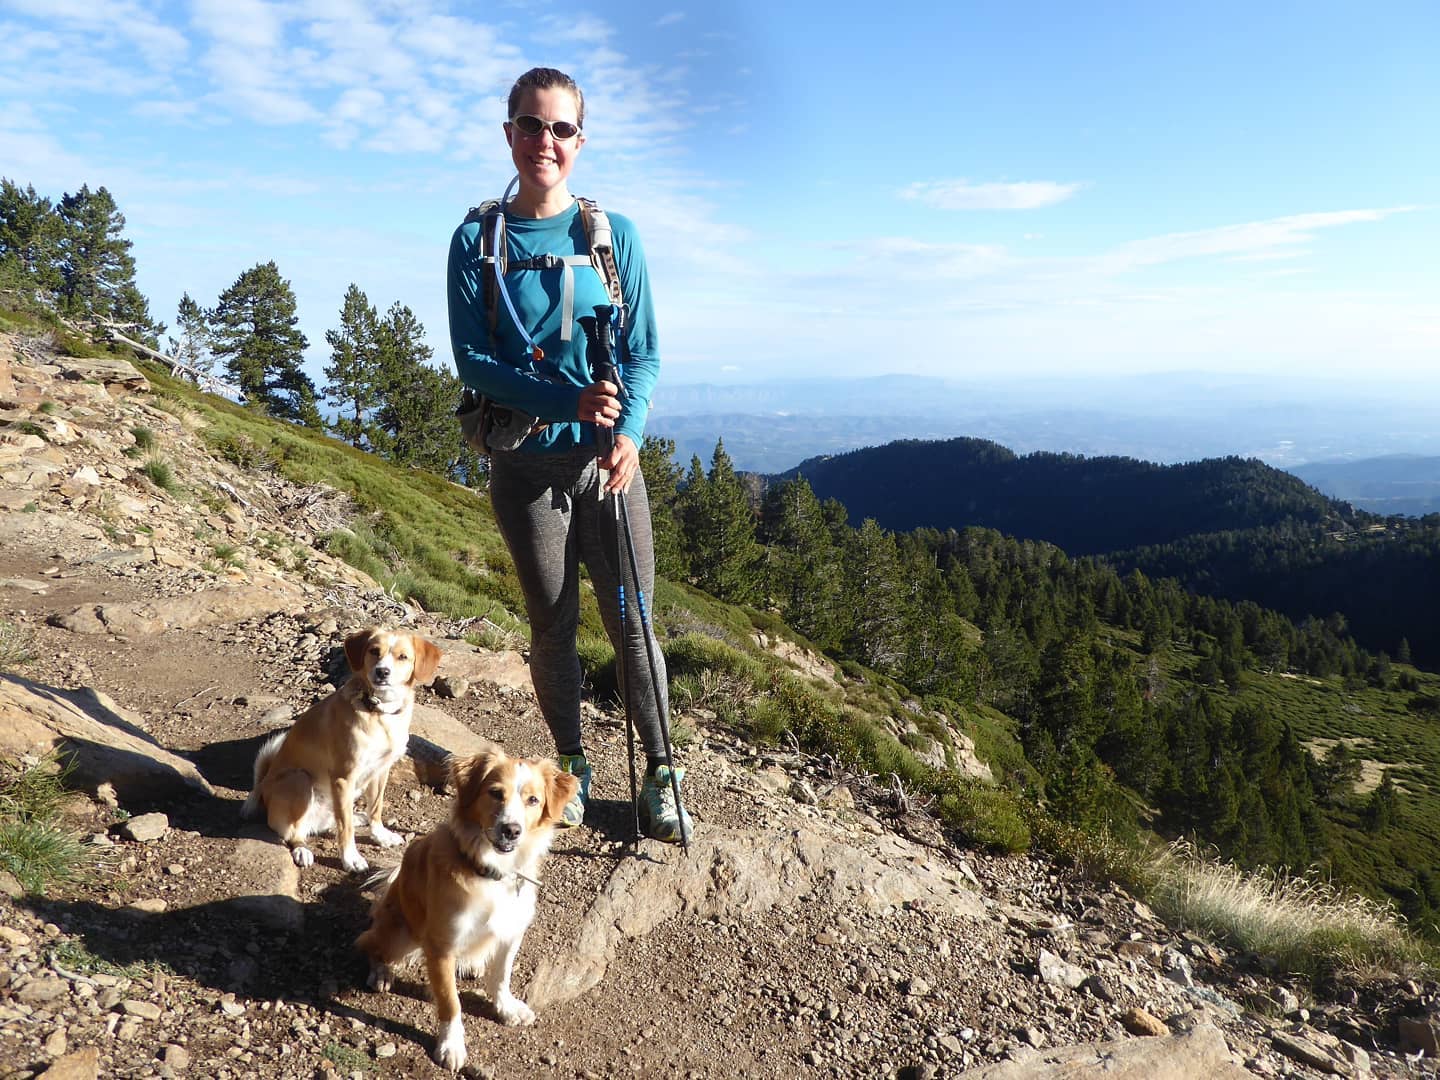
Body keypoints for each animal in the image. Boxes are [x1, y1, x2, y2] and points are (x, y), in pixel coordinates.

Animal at [240, 630, 437, 875]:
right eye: (374, 651)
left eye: (403, 657)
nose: (382, 671)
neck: (379, 712)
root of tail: (262, 787)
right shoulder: (344, 778)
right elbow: (346, 829)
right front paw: (351, 858)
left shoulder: (380, 771)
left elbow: (376, 808)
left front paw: (380, 835)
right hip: (300, 779)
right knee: (295, 833)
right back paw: (302, 850)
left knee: (335, 818)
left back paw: (358, 817)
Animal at [358, 754, 578, 1077]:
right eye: (496, 793)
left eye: (533, 800)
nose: (512, 829)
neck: (491, 872)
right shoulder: (441, 947)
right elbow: (451, 1002)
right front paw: (451, 1046)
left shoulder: (511, 932)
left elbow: (502, 976)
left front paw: (506, 1007)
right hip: (398, 933)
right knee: (369, 943)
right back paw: (382, 971)